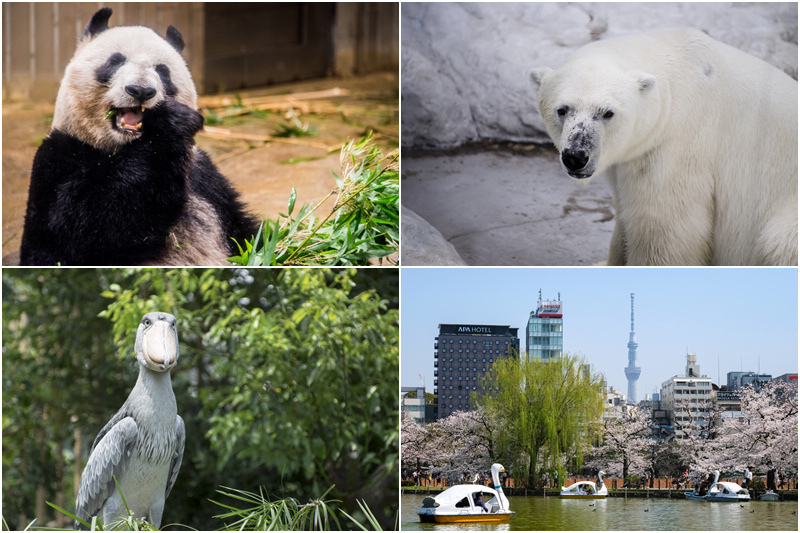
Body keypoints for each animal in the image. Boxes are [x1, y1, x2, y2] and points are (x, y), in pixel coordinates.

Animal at [19, 7, 260, 264]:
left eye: (163, 71)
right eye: (115, 61)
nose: (141, 90)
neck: (126, 148)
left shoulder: (204, 176)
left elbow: (246, 233)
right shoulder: (58, 159)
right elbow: (81, 228)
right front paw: (171, 122)